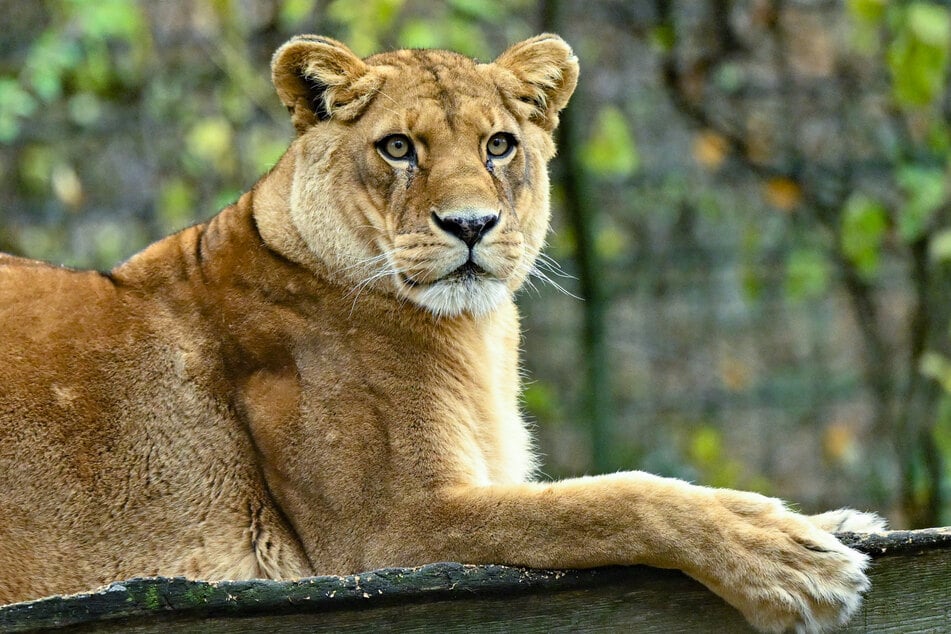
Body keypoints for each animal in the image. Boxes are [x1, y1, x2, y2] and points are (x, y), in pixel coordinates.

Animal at [0, 34, 884, 632]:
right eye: (398, 147)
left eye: (499, 145)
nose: (469, 225)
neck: (476, 333)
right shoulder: (390, 530)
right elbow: (609, 499)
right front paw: (785, 558)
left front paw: (831, 523)